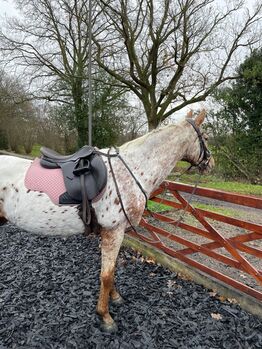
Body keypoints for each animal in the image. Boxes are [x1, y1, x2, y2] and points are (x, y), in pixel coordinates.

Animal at [0, 110, 213, 330]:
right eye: (206, 138)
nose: (211, 164)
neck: (133, 169)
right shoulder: (114, 231)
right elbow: (107, 275)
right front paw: (105, 316)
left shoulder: (115, 232)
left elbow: (111, 270)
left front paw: (115, 298)